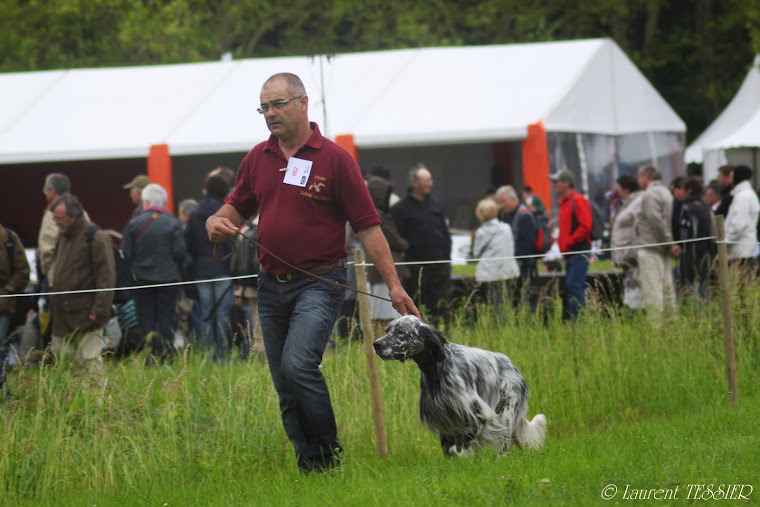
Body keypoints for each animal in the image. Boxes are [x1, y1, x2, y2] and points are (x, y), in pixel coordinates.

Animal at [372, 318, 544, 456]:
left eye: (400, 332)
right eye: (387, 330)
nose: (376, 344)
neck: (435, 368)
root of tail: (514, 367)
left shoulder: (479, 416)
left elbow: (460, 446)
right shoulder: (444, 419)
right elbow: (448, 449)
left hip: (506, 413)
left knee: (503, 444)